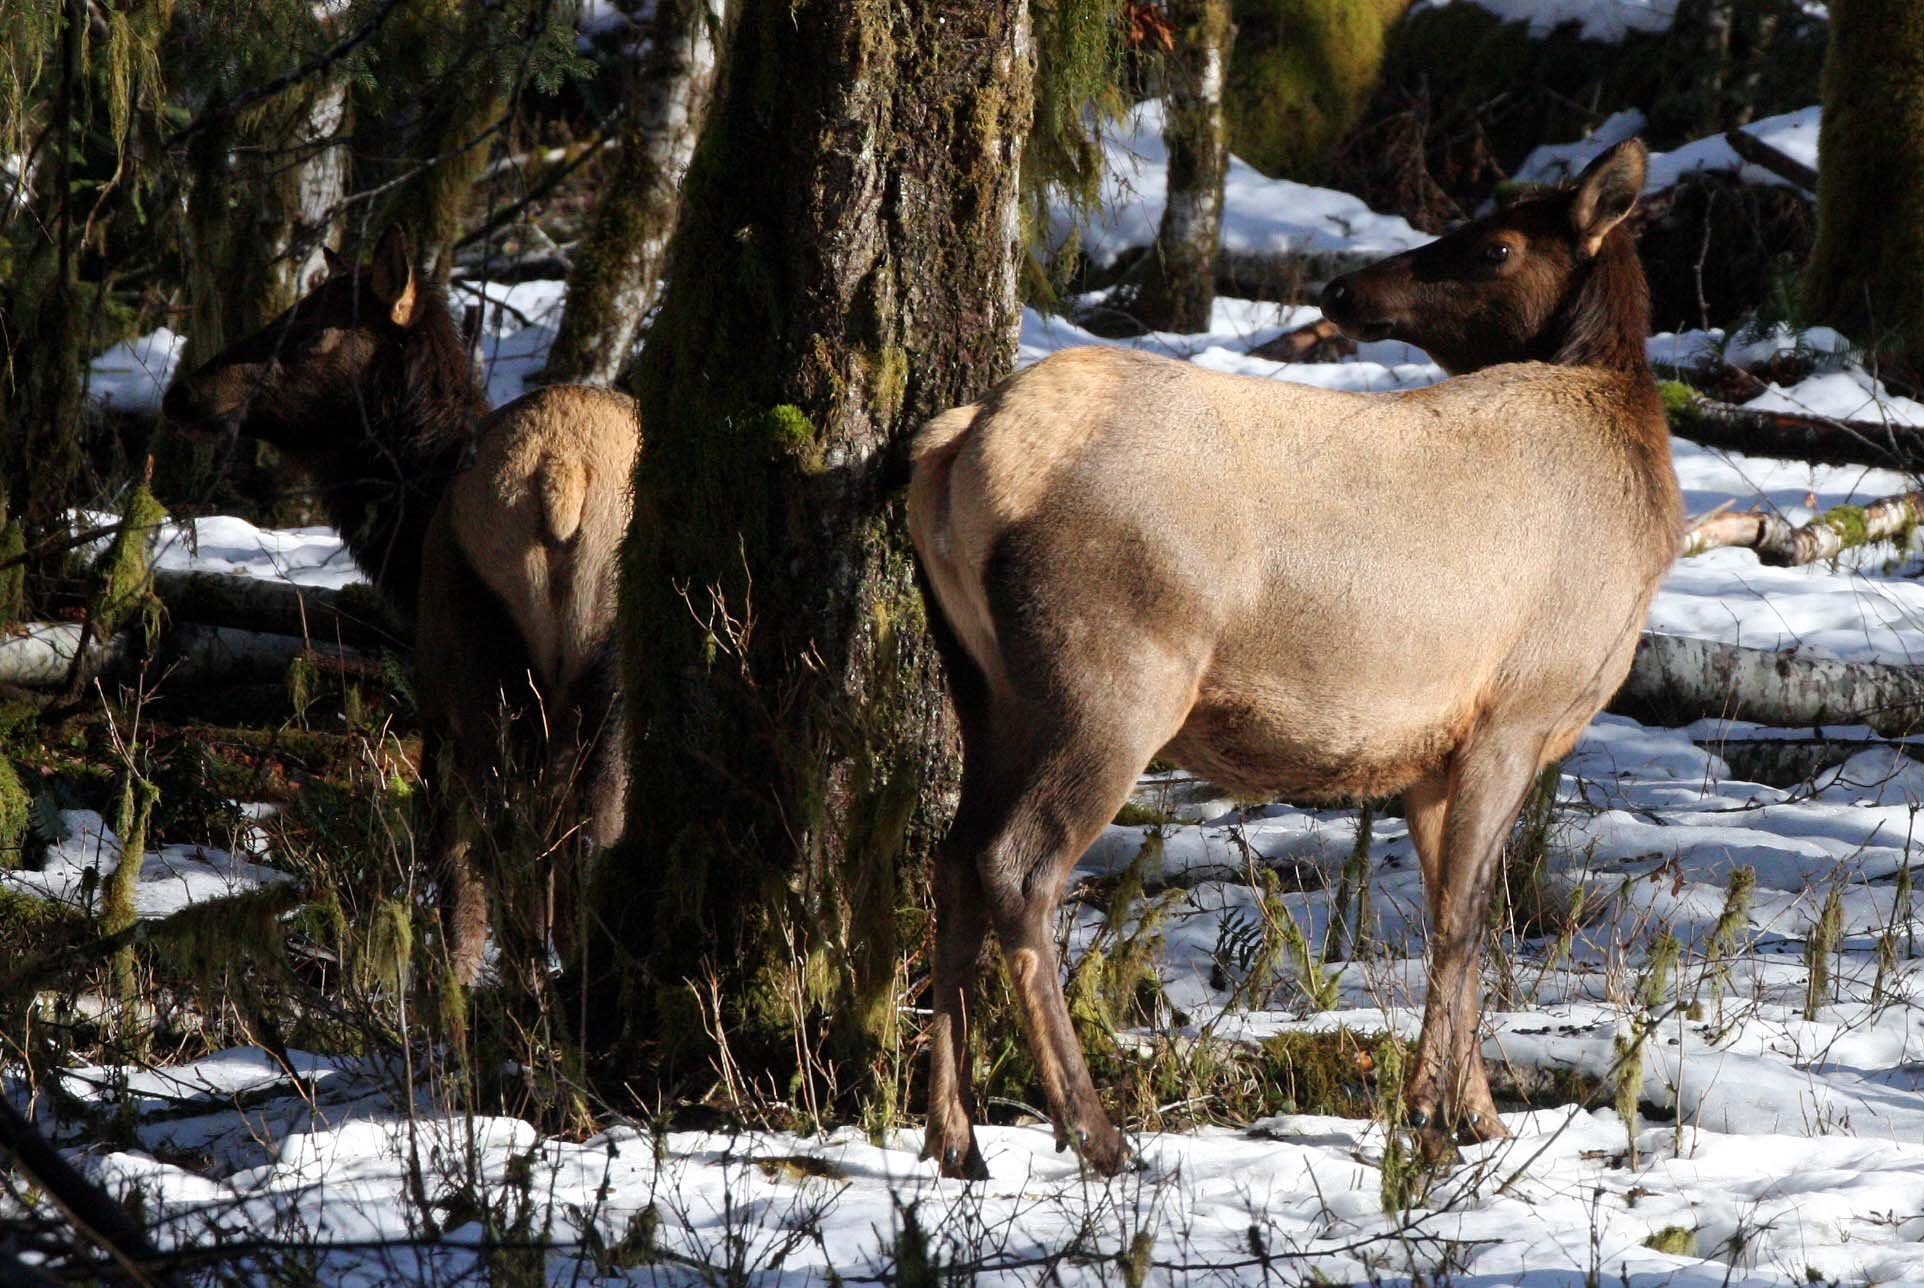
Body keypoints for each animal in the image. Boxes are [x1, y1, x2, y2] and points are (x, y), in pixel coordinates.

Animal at [162, 226, 639, 986]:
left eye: (312, 330)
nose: (182, 393)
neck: (407, 532)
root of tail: (562, 474)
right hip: (596, 676)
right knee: (585, 841)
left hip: (475, 673)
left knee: (490, 859)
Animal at [906, 139, 1679, 1178]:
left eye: (1496, 244)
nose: (1344, 287)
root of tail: (954, 450)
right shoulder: (1514, 713)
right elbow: (1468, 921)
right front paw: (1432, 1121)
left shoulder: (1435, 751)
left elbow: (1453, 918)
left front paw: (1475, 1115)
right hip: (1114, 676)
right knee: (1016, 866)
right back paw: (1096, 1132)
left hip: (982, 683)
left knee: (951, 859)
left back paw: (954, 1139)